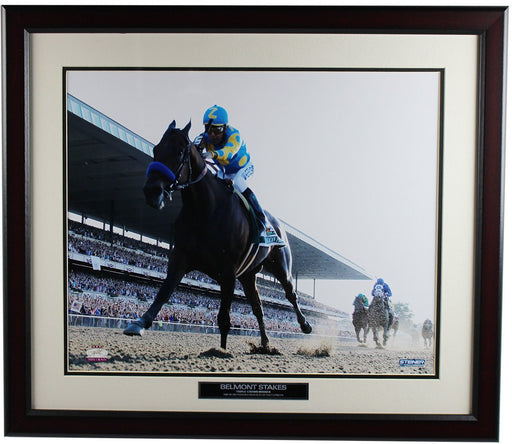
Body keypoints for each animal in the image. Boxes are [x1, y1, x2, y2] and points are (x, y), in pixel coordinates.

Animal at [124, 121, 312, 350]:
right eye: (156, 150)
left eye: (179, 153)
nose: (152, 191)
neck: (205, 209)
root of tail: (279, 225)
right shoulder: (181, 256)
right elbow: (164, 291)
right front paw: (139, 323)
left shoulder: (228, 270)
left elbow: (224, 317)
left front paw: (221, 350)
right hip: (248, 275)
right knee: (258, 307)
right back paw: (265, 343)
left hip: (281, 265)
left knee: (290, 293)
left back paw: (305, 325)